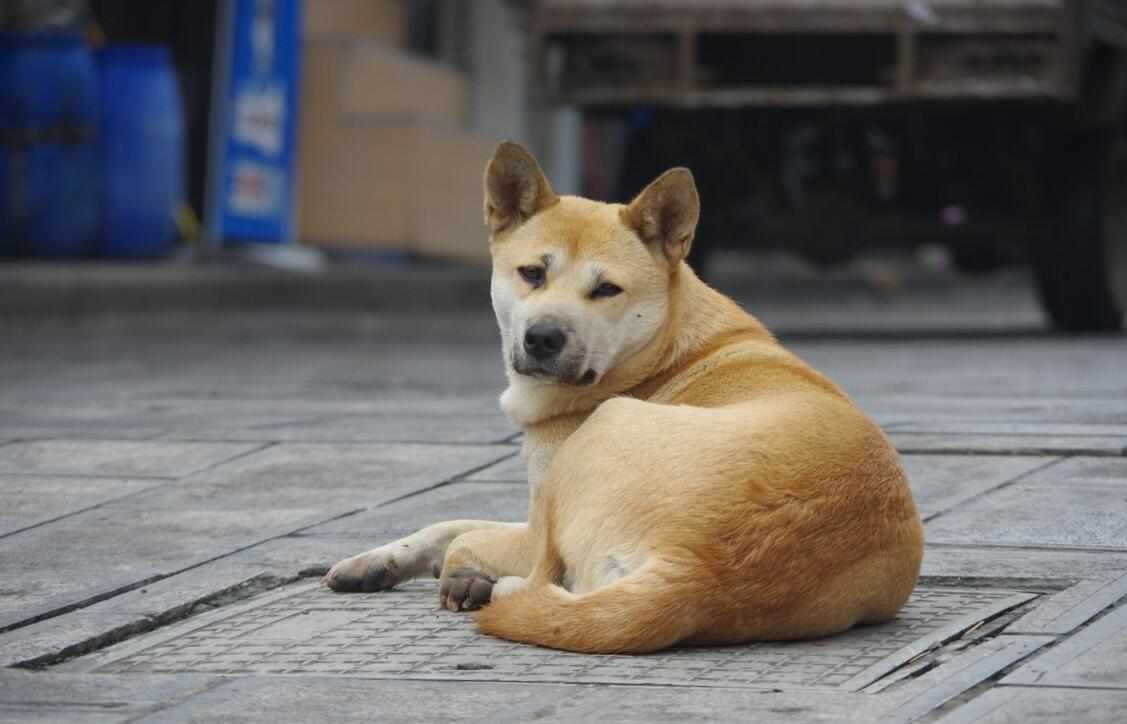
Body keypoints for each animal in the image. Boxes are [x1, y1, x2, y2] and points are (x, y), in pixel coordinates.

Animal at [324, 140, 924, 654]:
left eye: (606, 289)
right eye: (532, 273)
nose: (543, 338)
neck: (661, 350)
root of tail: (693, 571)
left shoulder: (538, 516)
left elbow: (460, 535)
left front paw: (461, 577)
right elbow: (443, 524)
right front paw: (374, 562)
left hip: (604, 434)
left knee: (538, 576)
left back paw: (490, 588)